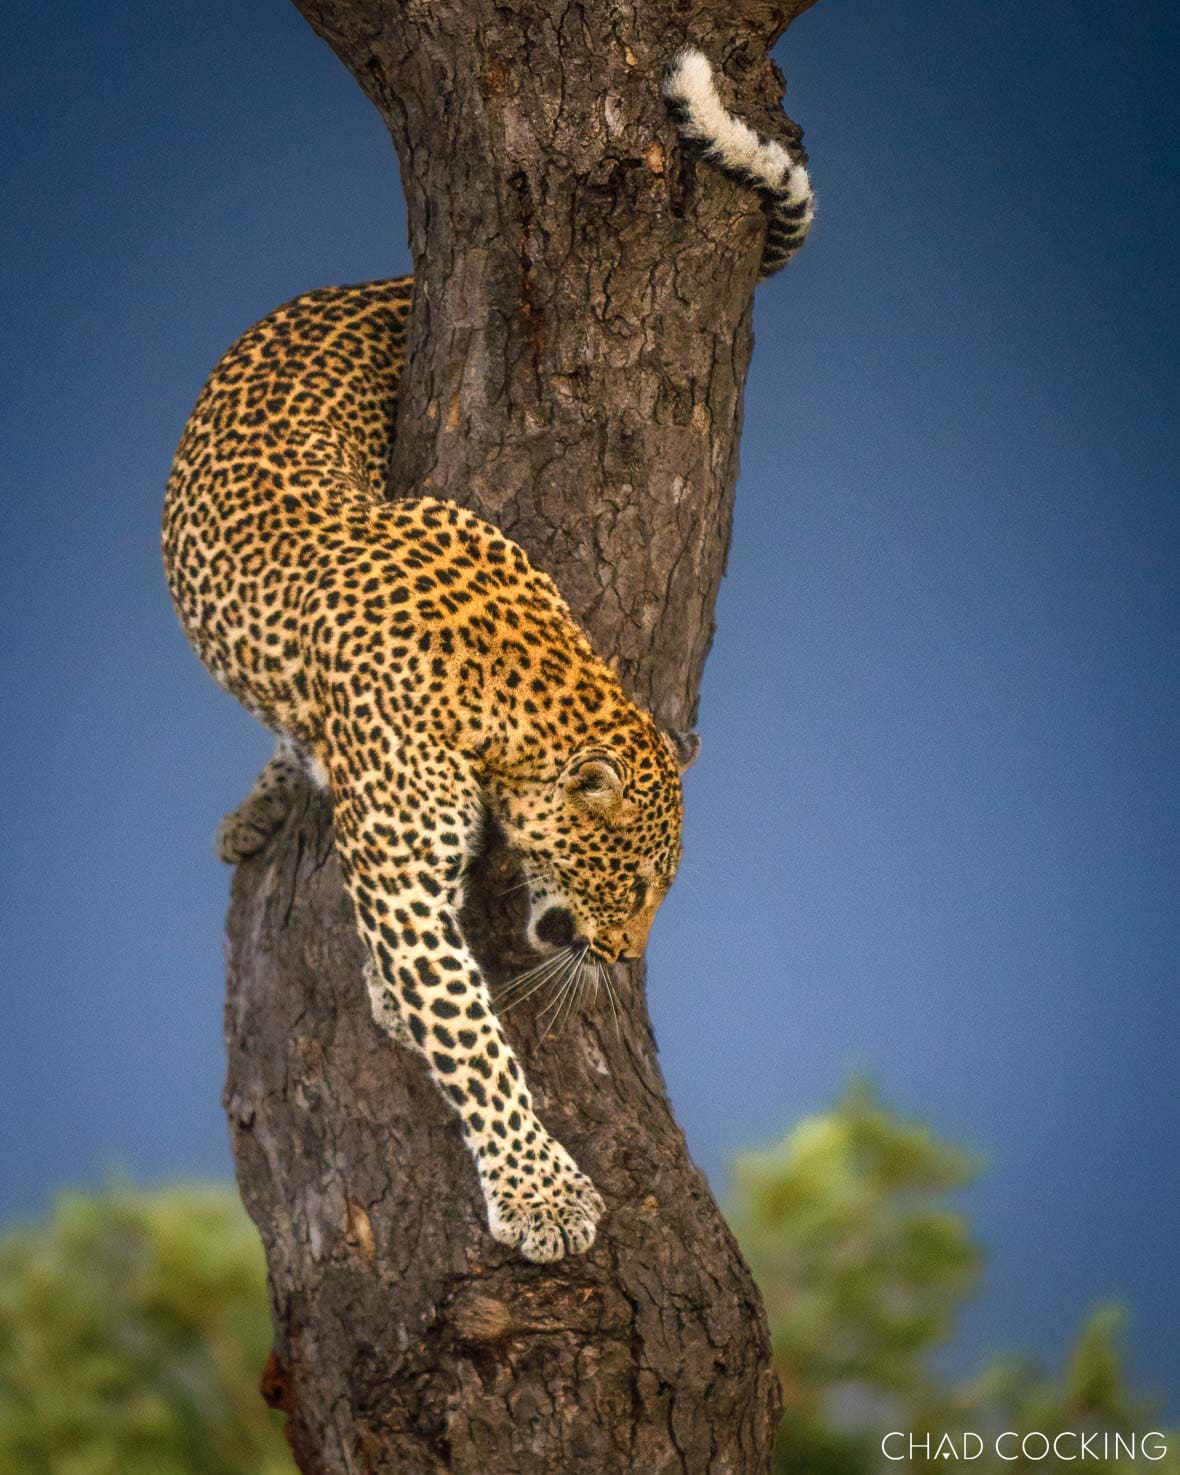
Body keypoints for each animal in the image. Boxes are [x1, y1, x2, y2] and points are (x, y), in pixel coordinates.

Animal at [162, 48, 812, 1263]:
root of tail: (375, 283)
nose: (625, 957)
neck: (519, 674)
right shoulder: (399, 864)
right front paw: (541, 1192)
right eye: (638, 881)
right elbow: (466, 1032)